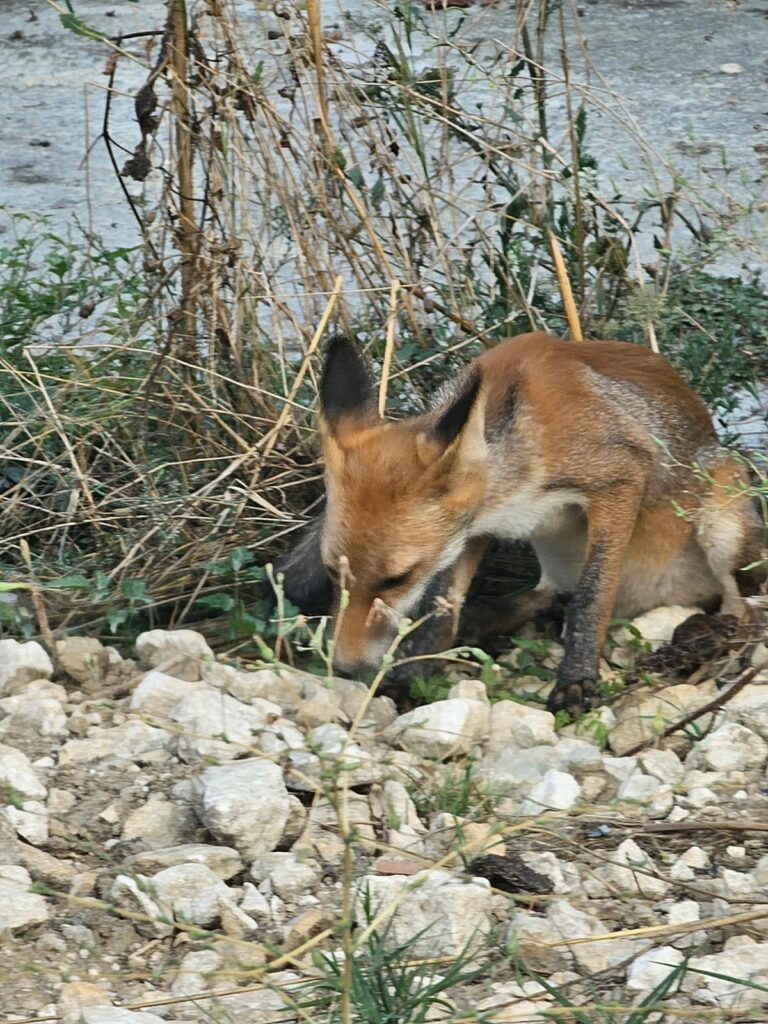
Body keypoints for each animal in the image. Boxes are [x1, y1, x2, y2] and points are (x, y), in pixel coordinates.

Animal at [305, 331, 765, 716]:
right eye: (332, 572)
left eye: (397, 579)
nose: (346, 665)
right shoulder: (472, 530)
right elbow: (440, 613)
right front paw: (408, 676)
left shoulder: (620, 478)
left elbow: (590, 599)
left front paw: (576, 680)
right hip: (557, 557)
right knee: (545, 596)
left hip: (724, 528)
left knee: (746, 612)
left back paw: (706, 638)